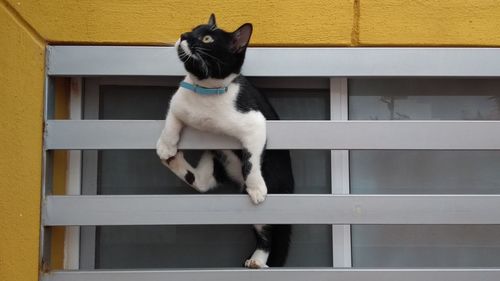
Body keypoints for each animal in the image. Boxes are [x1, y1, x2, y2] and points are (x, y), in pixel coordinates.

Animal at [154, 14, 292, 268]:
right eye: (192, 30)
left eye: (207, 39)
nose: (183, 35)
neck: (205, 92)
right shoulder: (179, 100)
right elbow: (173, 115)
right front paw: (166, 145)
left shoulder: (255, 122)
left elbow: (252, 159)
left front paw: (256, 186)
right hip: (217, 158)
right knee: (201, 182)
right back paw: (172, 160)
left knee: (267, 231)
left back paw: (258, 259)